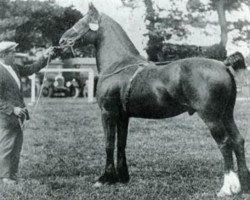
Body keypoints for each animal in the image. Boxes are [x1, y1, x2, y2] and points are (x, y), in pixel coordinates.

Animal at [60, 3, 250, 197]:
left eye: (81, 22)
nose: (62, 41)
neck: (118, 65)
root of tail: (223, 64)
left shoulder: (108, 113)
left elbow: (108, 143)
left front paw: (105, 178)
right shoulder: (122, 116)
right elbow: (121, 143)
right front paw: (122, 177)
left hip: (211, 117)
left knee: (225, 143)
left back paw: (227, 188)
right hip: (226, 115)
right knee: (238, 141)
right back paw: (244, 185)